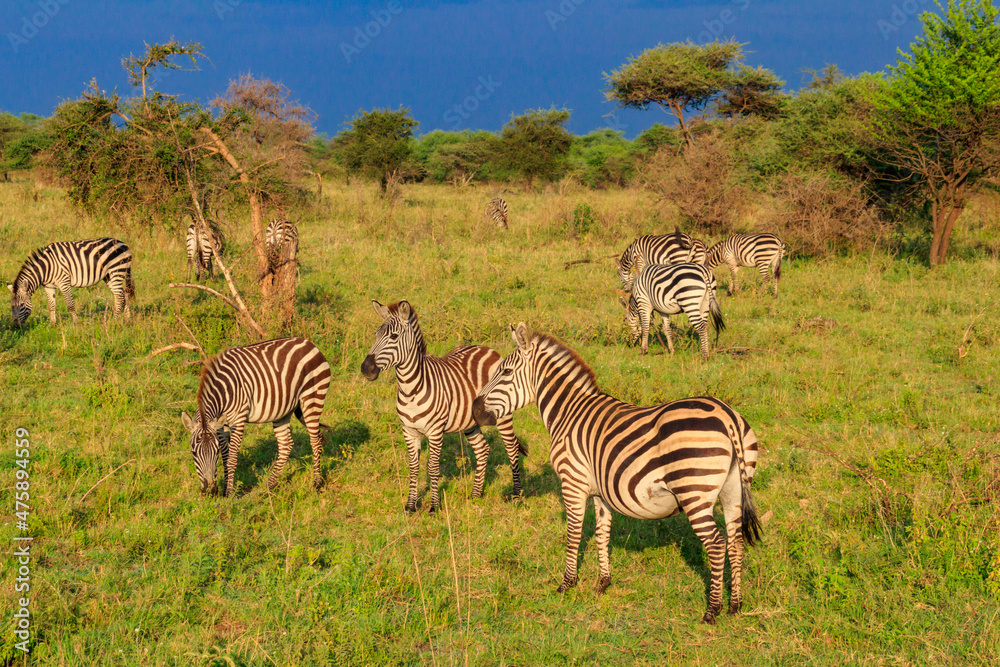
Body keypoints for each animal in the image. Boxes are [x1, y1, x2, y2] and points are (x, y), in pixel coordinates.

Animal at [180, 337, 331, 497]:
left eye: (215, 453)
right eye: (193, 453)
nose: (210, 492)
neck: (225, 390)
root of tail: (308, 343)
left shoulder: (238, 419)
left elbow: (232, 457)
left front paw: (229, 493)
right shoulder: (220, 425)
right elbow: (226, 456)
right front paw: (226, 488)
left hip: (313, 397)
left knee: (315, 441)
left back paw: (317, 483)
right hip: (283, 409)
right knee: (286, 444)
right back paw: (269, 486)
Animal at [361, 299, 526, 513]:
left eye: (393, 336)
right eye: (376, 335)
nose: (366, 369)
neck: (411, 389)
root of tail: (487, 349)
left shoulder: (435, 431)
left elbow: (432, 468)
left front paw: (434, 506)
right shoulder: (409, 430)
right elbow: (413, 467)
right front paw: (410, 506)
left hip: (503, 416)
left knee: (512, 448)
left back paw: (517, 495)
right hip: (470, 420)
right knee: (482, 449)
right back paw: (475, 494)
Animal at [472, 324, 761, 624]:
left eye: (506, 372)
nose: (475, 410)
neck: (568, 412)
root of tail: (727, 416)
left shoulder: (572, 482)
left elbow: (573, 533)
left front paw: (567, 583)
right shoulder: (600, 491)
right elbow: (602, 532)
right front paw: (603, 583)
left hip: (694, 491)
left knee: (716, 545)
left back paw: (712, 610)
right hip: (734, 490)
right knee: (736, 541)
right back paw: (735, 605)